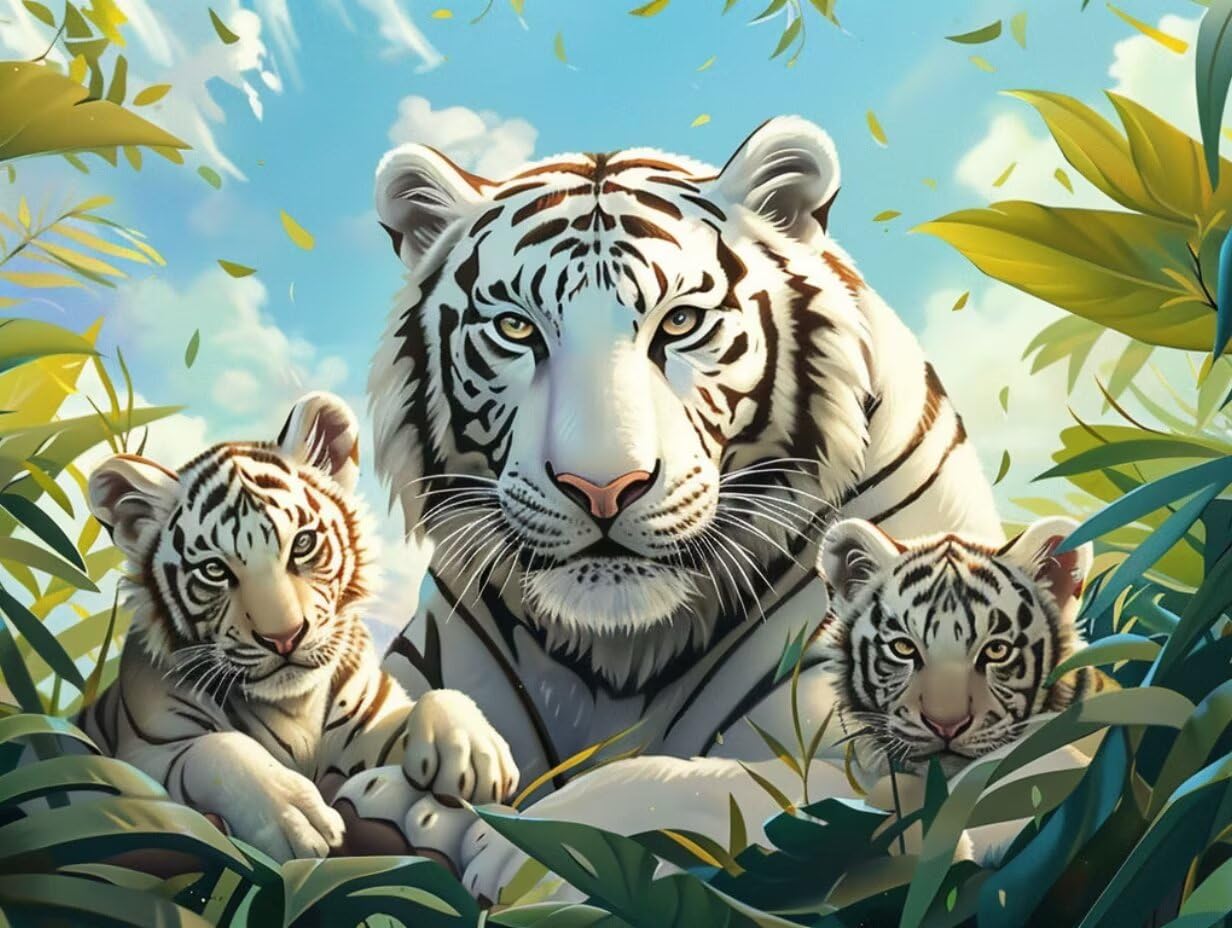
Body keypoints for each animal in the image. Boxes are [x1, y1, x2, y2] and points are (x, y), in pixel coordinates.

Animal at [78, 392, 516, 862]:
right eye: (214, 570)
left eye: (302, 544)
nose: (284, 637)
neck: (294, 705)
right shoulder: (147, 752)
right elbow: (220, 748)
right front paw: (297, 817)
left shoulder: (370, 722)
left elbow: (432, 697)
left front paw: (475, 754)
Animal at [342, 115, 1003, 881]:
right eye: (516, 329)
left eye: (680, 323)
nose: (602, 489)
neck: (618, 656)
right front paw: (434, 774)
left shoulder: (875, 754)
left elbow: (691, 783)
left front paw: (509, 839)